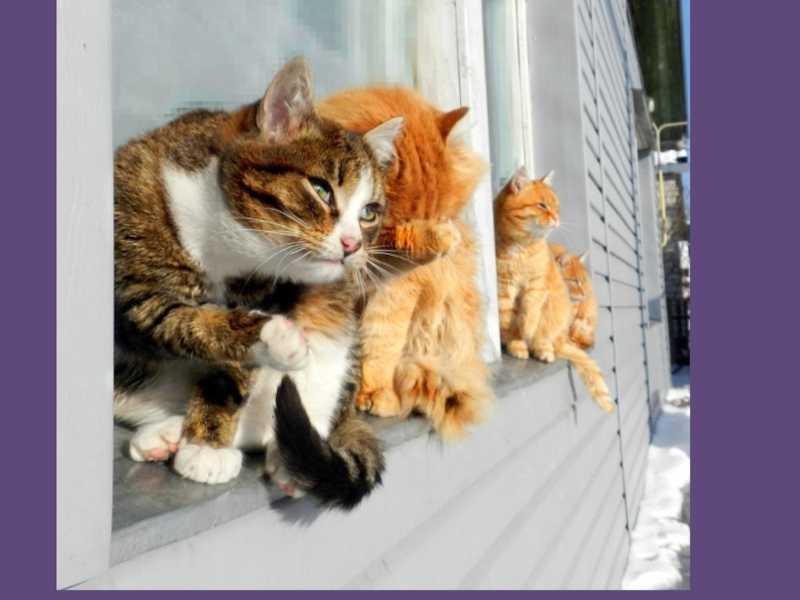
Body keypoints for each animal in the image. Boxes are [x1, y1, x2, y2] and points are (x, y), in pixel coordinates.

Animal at [113, 58, 404, 508]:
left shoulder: (275, 289)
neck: (223, 249)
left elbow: (230, 368)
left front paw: (206, 445)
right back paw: (166, 434)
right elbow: (172, 318)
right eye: (321, 189)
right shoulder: (130, 266)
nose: (353, 244)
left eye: (369, 212)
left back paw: (285, 458)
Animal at [317, 87, 495, 438]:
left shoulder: (395, 291)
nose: (440, 246)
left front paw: (375, 393)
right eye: (400, 228)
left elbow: (381, 342)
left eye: (441, 218)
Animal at [495, 167, 614, 413]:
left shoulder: (536, 286)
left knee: (549, 341)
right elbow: (510, 324)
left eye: (556, 207)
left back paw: (544, 349)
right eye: (542, 205)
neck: (520, 249)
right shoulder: (504, 291)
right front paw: (517, 344)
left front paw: (527, 330)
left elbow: (530, 314)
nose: (557, 218)